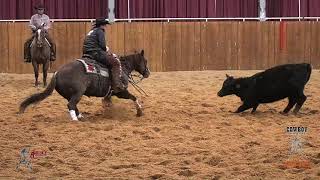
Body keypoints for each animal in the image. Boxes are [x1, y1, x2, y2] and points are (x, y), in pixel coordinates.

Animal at [19, 50, 150, 120]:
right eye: (145, 61)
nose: (148, 73)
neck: (123, 68)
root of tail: (57, 73)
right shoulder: (121, 92)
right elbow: (134, 97)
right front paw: (139, 111)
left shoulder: (110, 94)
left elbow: (108, 100)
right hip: (78, 93)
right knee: (71, 105)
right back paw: (75, 119)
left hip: (69, 94)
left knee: (72, 104)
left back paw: (80, 116)